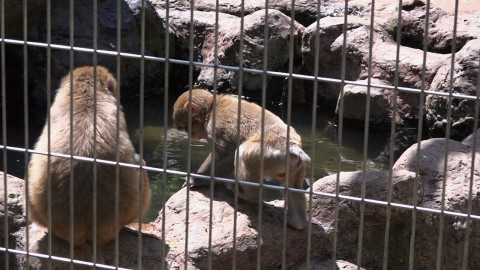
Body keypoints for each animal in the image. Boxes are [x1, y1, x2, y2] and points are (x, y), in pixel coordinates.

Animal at [172, 89, 312, 229]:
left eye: (183, 127)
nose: (189, 135)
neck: (211, 109)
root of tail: (293, 146)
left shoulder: (216, 126)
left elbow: (228, 154)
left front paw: (196, 180)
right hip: (292, 165)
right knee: (292, 187)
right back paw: (297, 223)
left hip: (271, 153)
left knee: (243, 153)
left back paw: (247, 196)